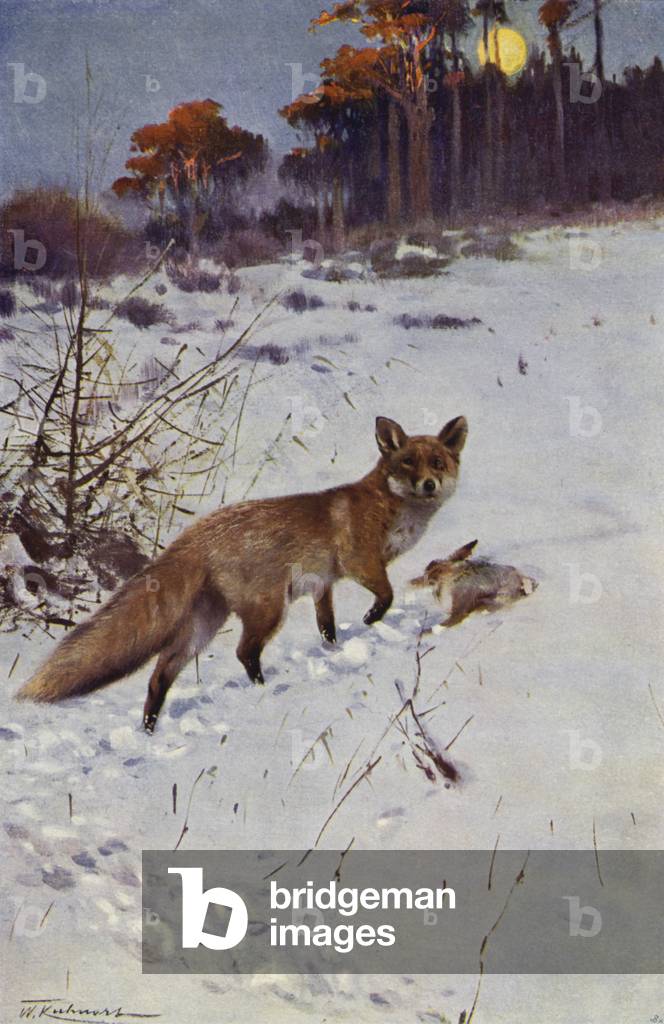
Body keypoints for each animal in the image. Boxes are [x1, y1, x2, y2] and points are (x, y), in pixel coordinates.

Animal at [16, 414, 467, 732]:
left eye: (437, 463)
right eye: (407, 463)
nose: (428, 484)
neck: (390, 511)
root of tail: (197, 531)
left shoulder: (322, 586)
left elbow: (327, 627)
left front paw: (334, 649)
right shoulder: (361, 563)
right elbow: (386, 595)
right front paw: (372, 620)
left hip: (203, 625)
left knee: (160, 674)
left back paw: (149, 728)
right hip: (267, 609)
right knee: (243, 652)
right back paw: (261, 691)